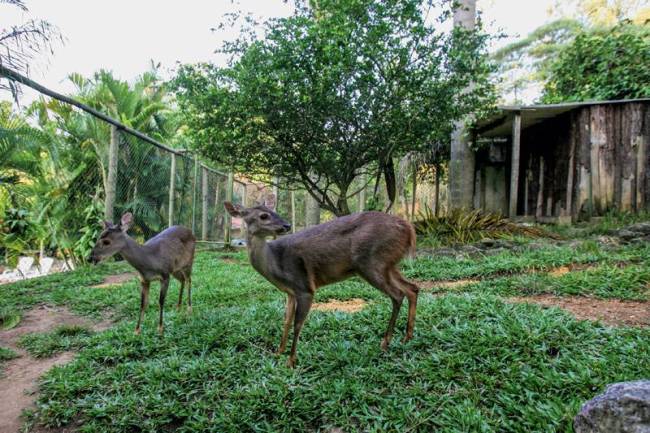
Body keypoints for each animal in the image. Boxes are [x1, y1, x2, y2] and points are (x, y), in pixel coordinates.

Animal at [223, 201, 418, 366]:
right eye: (264, 215)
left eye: (273, 211)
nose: (287, 225)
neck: (276, 264)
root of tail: (409, 229)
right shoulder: (290, 292)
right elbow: (286, 321)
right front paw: (278, 352)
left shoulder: (305, 287)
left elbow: (298, 324)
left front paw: (291, 361)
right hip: (388, 264)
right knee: (412, 288)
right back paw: (407, 337)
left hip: (372, 262)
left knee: (397, 294)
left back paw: (385, 343)